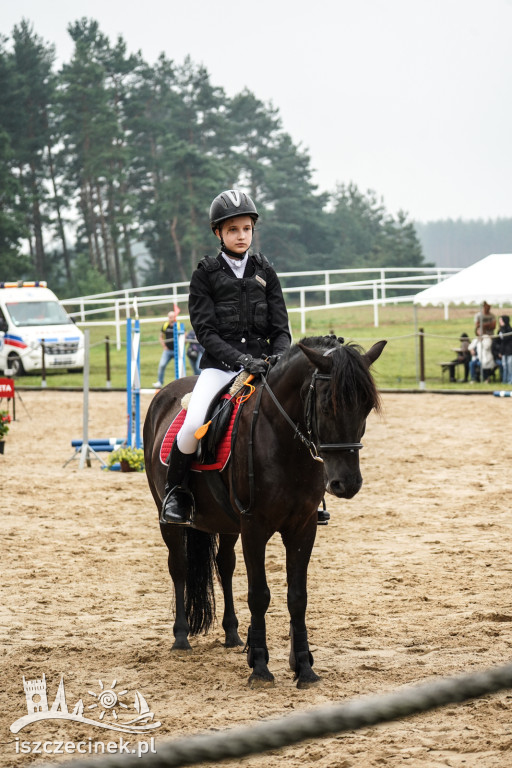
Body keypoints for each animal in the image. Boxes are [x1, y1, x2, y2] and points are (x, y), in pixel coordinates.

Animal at [143, 336, 384, 688]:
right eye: (328, 406)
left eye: (366, 407)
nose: (347, 483)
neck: (284, 441)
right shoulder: (254, 527)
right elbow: (259, 594)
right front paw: (259, 667)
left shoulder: (303, 527)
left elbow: (297, 596)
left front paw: (304, 667)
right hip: (171, 521)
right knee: (179, 567)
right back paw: (181, 637)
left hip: (227, 524)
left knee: (224, 566)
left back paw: (232, 635)